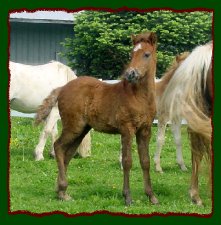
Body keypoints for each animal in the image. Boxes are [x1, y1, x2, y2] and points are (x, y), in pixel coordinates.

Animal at [34, 31, 159, 206]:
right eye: (131, 54)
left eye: (146, 54)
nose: (130, 74)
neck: (140, 97)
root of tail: (63, 88)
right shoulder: (127, 129)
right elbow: (127, 161)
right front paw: (127, 197)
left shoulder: (145, 130)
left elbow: (145, 161)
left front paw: (151, 196)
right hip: (73, 126)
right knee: (58, 146)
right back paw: (62, 188)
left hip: (82, 130)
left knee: (67, 154)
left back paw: (61, 192)